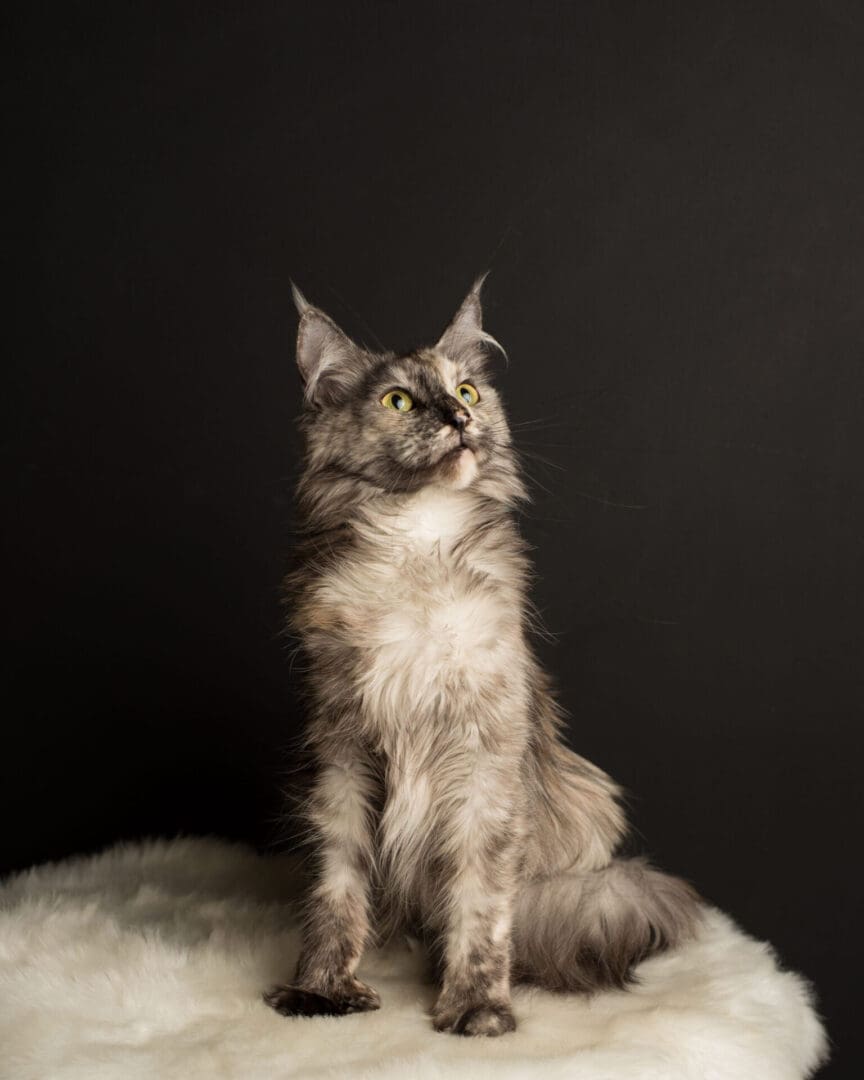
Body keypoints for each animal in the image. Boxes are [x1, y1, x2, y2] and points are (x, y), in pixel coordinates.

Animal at [266, 278, 704, 1036]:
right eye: (399, 401)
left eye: (466, 390)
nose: (459, 418)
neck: (416, 548)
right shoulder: (342, 753)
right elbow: (335, 888)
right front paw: (321, 989)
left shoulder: (484, 755)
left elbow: (480, 900)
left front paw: (475, 1005)